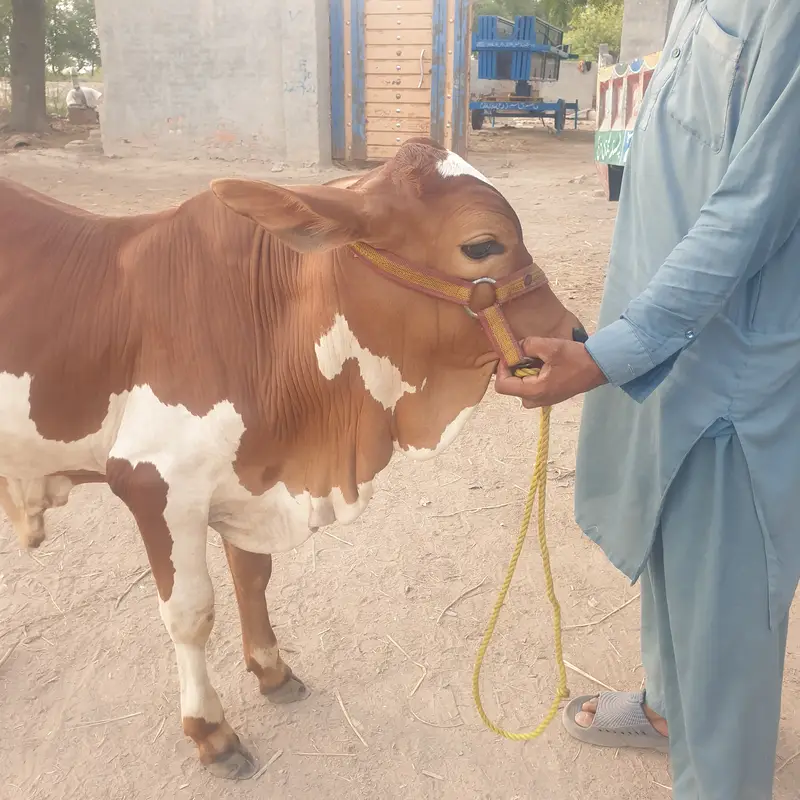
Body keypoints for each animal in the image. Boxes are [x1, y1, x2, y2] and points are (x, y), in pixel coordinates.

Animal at [0, 138, 584, 779]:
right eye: (482, 244)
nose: (575, 337)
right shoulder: (153, 483)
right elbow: (191, 613)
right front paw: (210, 732)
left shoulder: (249, 480)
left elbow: (253, 576)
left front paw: (272, 671)